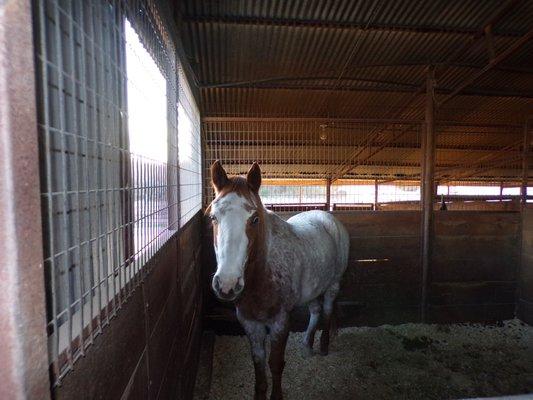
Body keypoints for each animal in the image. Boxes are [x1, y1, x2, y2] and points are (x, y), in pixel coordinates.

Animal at [207, 161, 350, 398]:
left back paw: (323, 346)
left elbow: (275, 364)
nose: (227, 285)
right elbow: (258, 364)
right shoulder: (250, 323)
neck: (262, 276)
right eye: (213, 217)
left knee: (328, 310)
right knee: (316, 311)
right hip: (313, 287)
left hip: (333, 284)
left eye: (255, 219)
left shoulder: (280, 322)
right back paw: (307, 345)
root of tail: (329, 218)